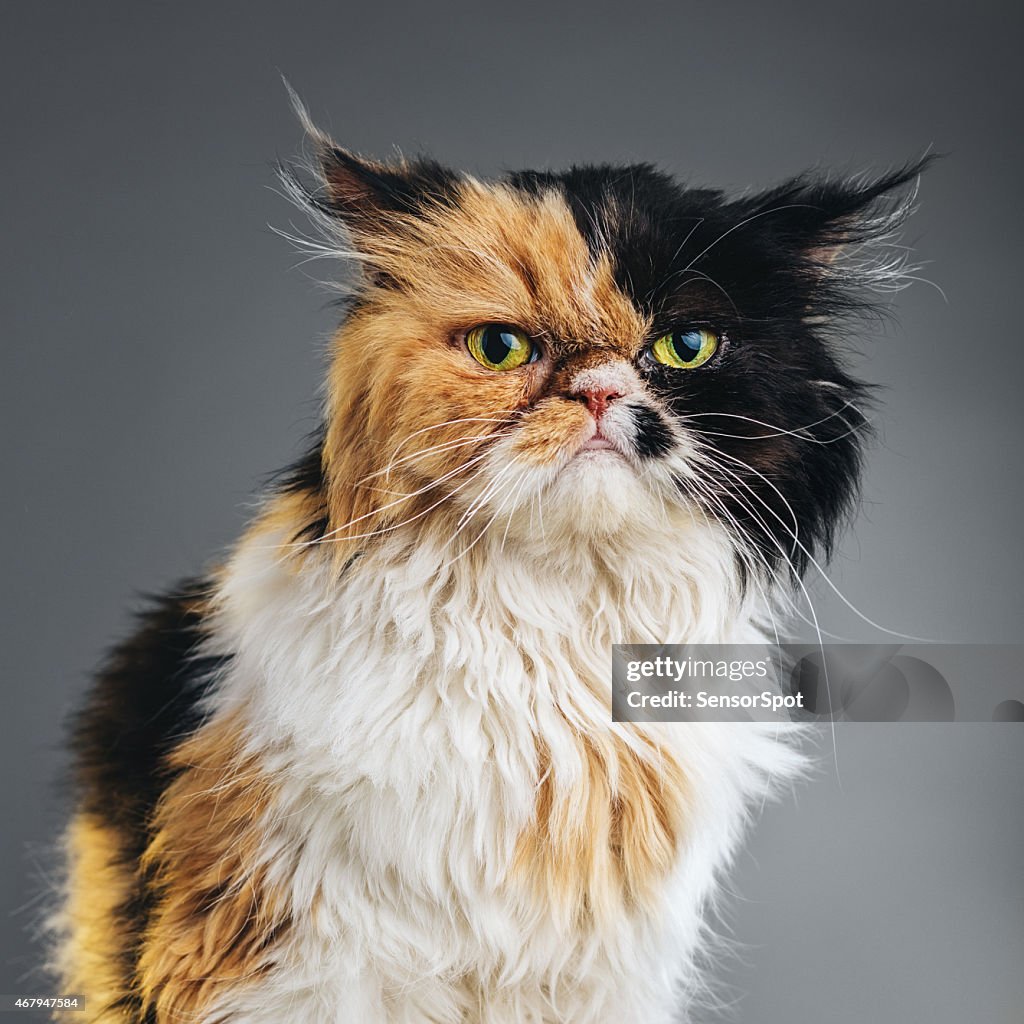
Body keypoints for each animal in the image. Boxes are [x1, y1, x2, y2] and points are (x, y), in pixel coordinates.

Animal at [49, 105, 929, 1024]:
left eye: (686, 345)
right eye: (501, 347)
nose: (598, 392)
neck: (553, 630)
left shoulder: (602, 976)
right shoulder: (285, 956)